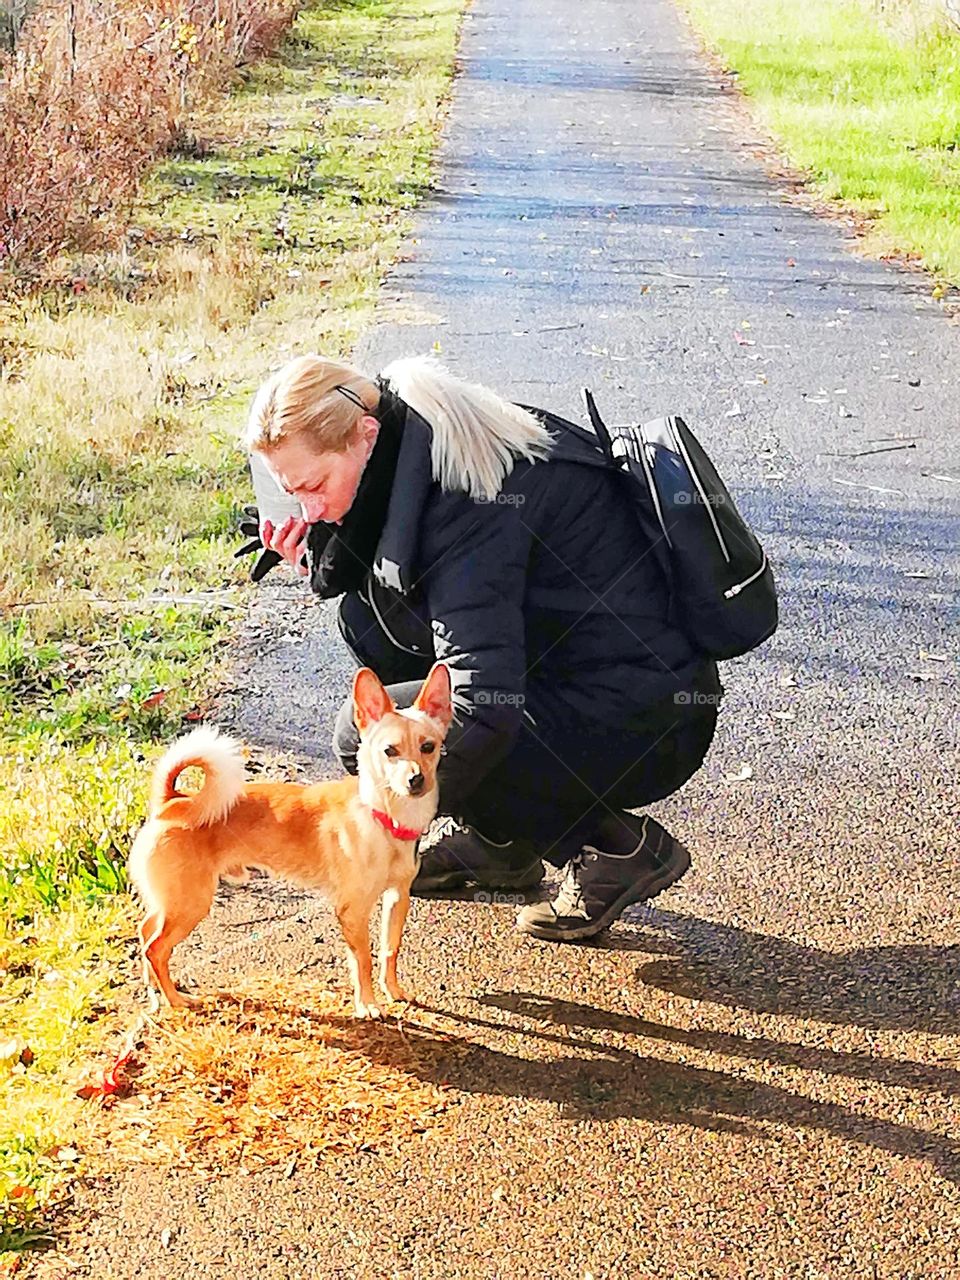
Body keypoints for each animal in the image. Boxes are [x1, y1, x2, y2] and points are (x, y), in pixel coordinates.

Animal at [128, 665, 455, 1013]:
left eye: (428, 747)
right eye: (389, 752)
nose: (416, 779)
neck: (382, 815)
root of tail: (173, 802)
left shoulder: (397, 897)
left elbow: (389, 950)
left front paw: (392, 991)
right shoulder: (353, 912)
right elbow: (363, 961)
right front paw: (366, 1004)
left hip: (170, 903)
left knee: (146, 932)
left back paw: (153, 989)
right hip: (189, 905)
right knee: (156, 949)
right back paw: (175, 998)